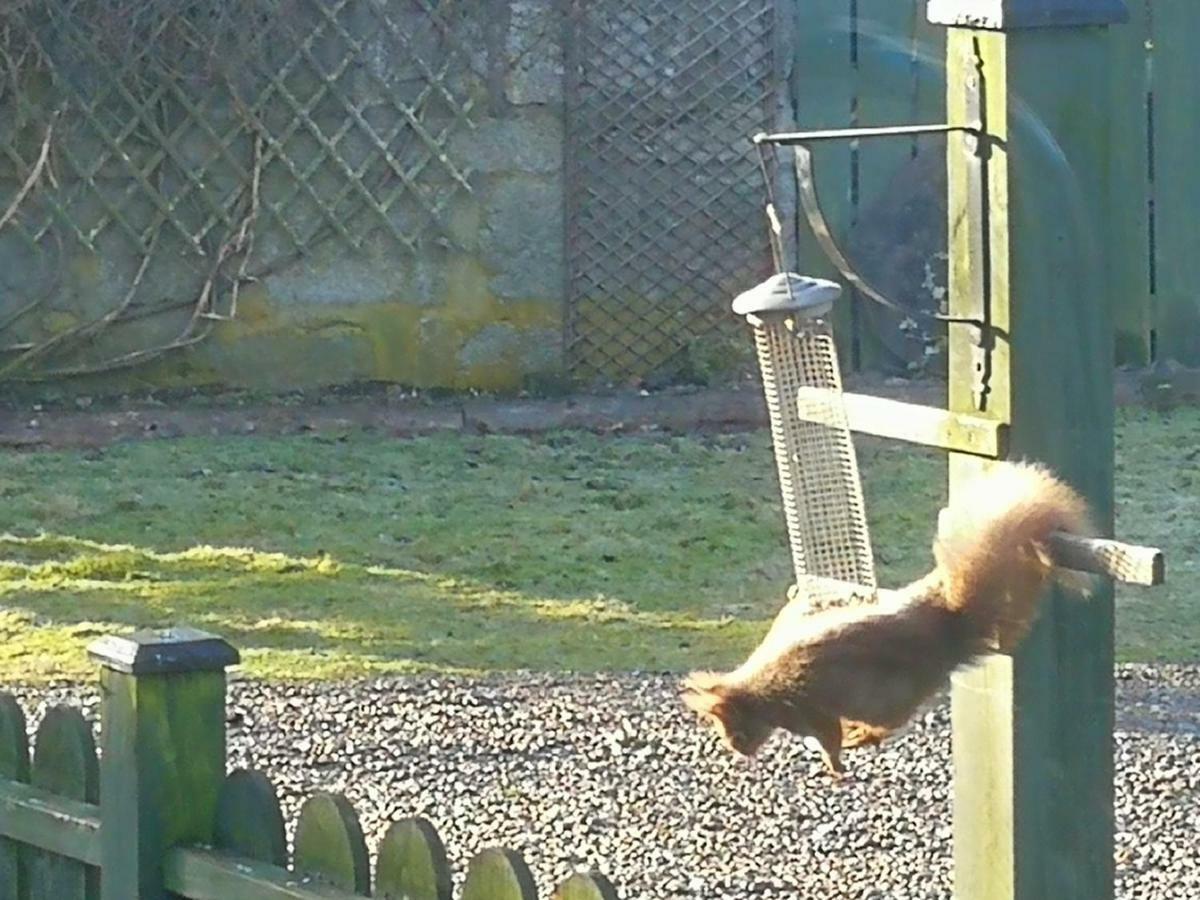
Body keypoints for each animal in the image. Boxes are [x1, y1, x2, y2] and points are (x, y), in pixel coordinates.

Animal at [681, 460, 1094, 777]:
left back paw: (862, 735)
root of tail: (947, 631)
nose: (740, 751)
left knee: (890, 722)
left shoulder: (804, 708)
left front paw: (835, 768)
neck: (756, 691)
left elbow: (828, 737)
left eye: (735, 728)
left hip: (886, 696)